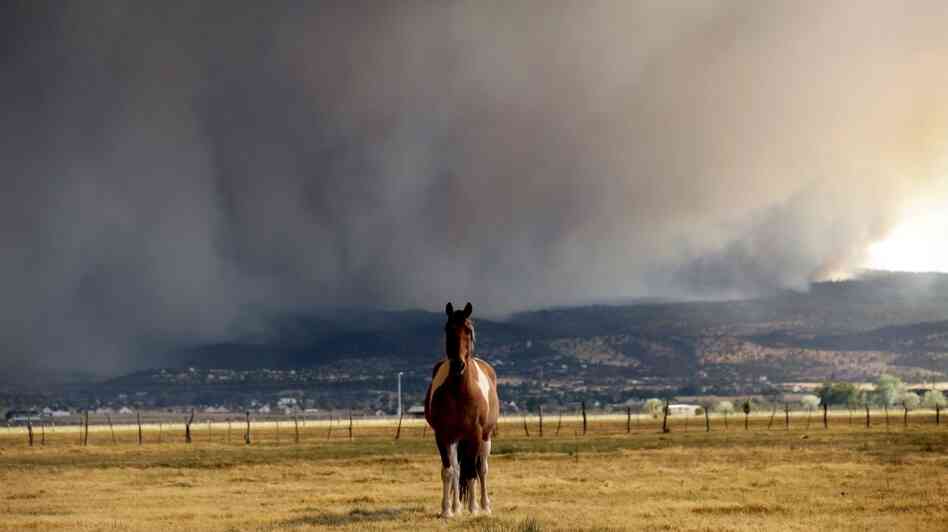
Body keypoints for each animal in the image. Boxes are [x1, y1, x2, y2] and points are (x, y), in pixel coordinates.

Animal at [424, 302, 500, 518]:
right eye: (448, 329)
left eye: (469, 330)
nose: (458, 365)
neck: (460, 392)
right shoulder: (443, 435)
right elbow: (449, 471)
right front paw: (447, 510)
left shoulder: (475, 434)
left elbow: (472, 473)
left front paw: (473, 508)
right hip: (456, 439)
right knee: (458, 469)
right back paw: (457, 506)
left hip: (485, 437)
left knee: (481, 469)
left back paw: (484, 506)